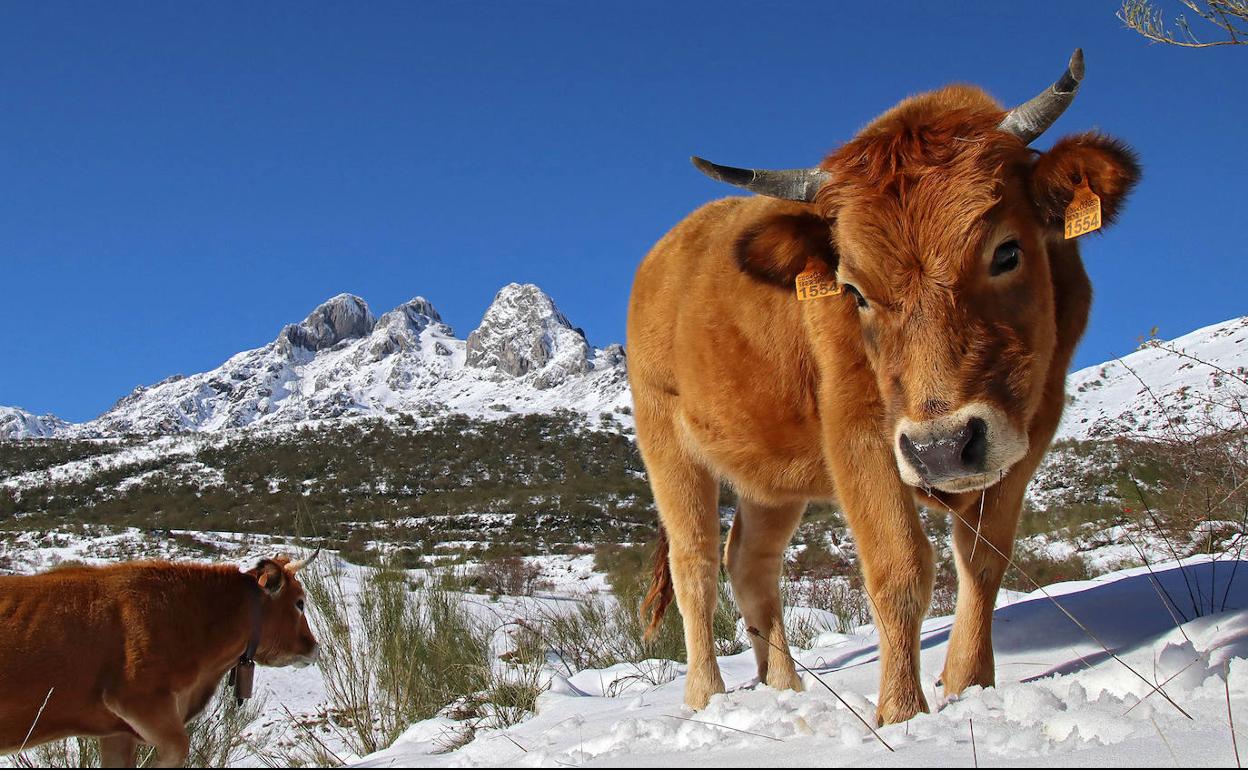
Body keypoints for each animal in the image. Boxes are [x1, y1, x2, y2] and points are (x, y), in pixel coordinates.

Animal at [633, 51, 1143, 723]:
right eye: (853, 291)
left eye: (1007, 252)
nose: (942, 448)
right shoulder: (859, 434)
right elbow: (899, 569)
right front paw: (902, 713)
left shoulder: (1030, 426)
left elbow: (984, 558)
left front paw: (970, 686)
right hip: (668, 445)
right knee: (694, 566)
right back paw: (706, 698)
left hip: (771, 479)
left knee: (750, 565)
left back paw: (784, 688)